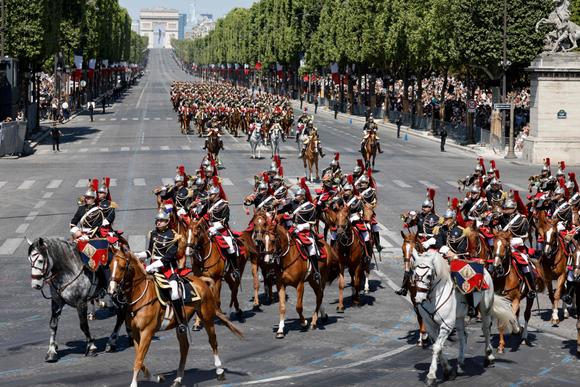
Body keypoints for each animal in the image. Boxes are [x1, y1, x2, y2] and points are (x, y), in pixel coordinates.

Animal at [26, 236, 130, 364]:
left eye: (40, 260)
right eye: (30, 260)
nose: (35, 285)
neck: (68, 271)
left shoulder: (81, 302)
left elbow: (83, 325)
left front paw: (91, 347)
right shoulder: (56, 302)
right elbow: (53, 325)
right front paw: (51, 351)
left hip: (116, 293)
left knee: (121, 313)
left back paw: (112, 342)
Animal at [107, 246, 244, 387]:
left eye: (122, 267)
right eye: (110, 266)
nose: (111, 290)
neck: (141, 296)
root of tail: (201, 280)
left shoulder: (147, 332)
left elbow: (139, 360)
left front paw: (134, 383)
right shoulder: (135, 333)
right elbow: (140, 358)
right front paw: (157, 378)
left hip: (206, 318)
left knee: (213, 341)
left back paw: (219, 371)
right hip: (181, 323)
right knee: (184, 347)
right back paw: (178, 379)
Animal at [414, 250, 520, 386]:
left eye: (428, 276)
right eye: (414, 274)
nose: (419, 299)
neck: (434, 297)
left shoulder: (446, 325)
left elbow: (437, 347)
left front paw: (431, 376)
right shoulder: (430, 325)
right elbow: (438, 347)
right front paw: (448, 371)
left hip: (485, 309)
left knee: (486, 330)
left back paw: (489, 357)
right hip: (459, 317)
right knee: (463, 335)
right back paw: (460, 362)